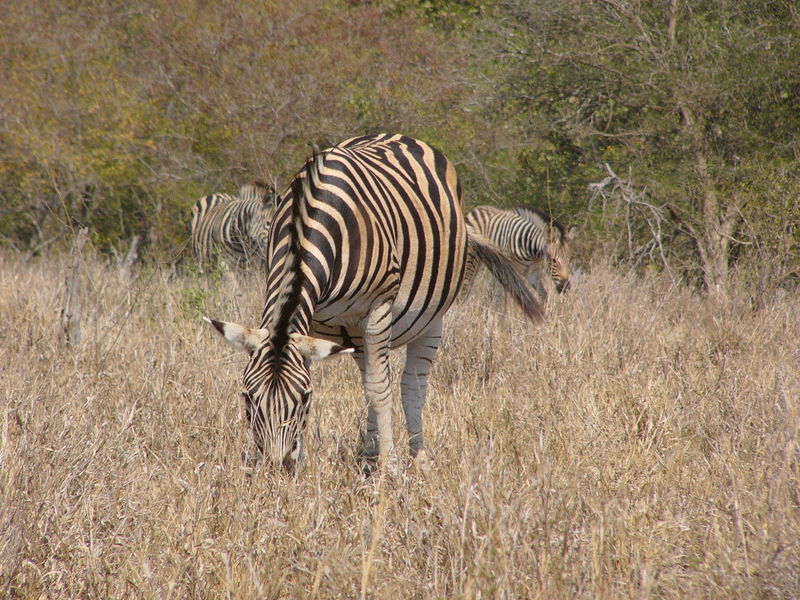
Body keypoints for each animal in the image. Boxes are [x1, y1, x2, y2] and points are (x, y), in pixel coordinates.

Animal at [205, 134, 544, 472]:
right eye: (247, 397)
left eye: (305, 398)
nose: (277, 467)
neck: (308, 224)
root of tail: (402, 136)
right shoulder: (316, 322)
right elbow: (364, 385)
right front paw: (309, 459)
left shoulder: (379, 309)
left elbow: (381, 390)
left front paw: (391, 466)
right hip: (353, 332)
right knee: (369, 379)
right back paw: (368, 455)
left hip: (429, 320)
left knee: (411, 386)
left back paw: (417, 456)